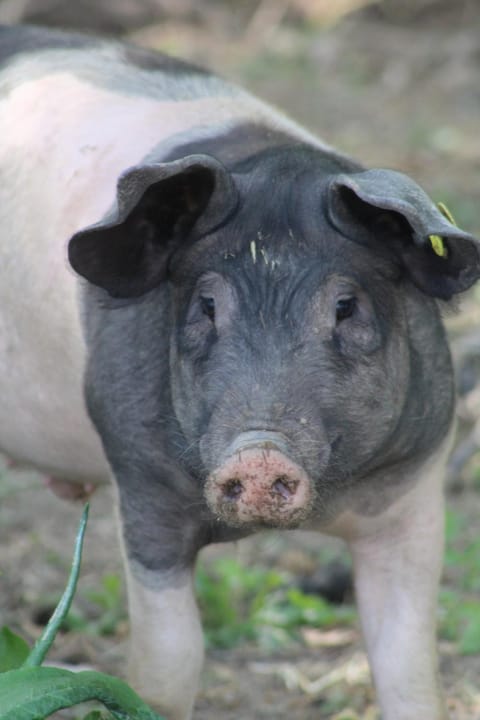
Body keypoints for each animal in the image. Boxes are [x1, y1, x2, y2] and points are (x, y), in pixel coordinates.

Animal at [0, 22, 480, 720]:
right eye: (205, 306)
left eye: (346, 306)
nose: (257, 453)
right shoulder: (139, 481)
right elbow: (169, 665)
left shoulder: (416, 485)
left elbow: (408, 663)